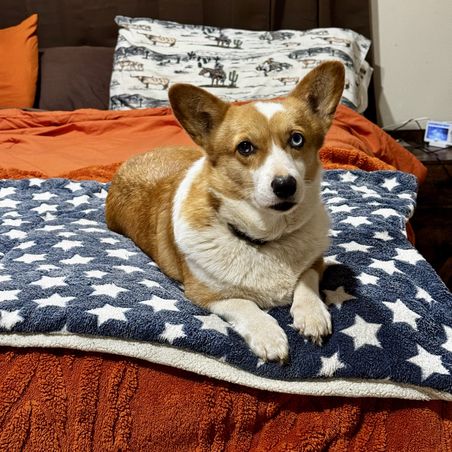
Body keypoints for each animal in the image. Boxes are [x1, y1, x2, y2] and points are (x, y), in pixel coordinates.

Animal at [106, 61, 345, 363]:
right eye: (245, 147)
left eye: (297, 139)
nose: (285, 185)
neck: (267, 237)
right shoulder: (206, 294)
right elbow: (244, 304)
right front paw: (269, 336)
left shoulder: (315, 262)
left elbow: (306, 281)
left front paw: (312, 315)